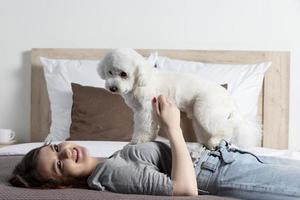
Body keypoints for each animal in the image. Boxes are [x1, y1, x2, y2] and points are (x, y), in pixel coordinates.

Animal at [98, 48, 260, 148]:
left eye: (123, 74)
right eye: (109, 72)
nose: (113, 88)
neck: (141, 80)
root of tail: (229, 98)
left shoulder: (146, 110)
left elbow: (144, 127)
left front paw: (139, 141)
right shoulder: (140, 112)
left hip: (207, 110)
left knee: (226, 128)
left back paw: (215, 141)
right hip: (200, 115)